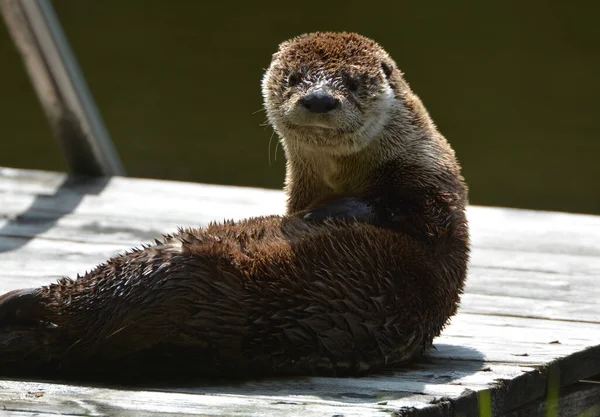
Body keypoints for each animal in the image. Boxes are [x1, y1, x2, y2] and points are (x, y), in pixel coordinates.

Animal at [0, 30, 468, 378]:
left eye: (353, 82)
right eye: (294, 77)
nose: (319, 99)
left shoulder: (434, 200)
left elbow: (401, 212)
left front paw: (326, 215)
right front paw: (316, 214)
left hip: (164, 267)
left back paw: (21, 299)